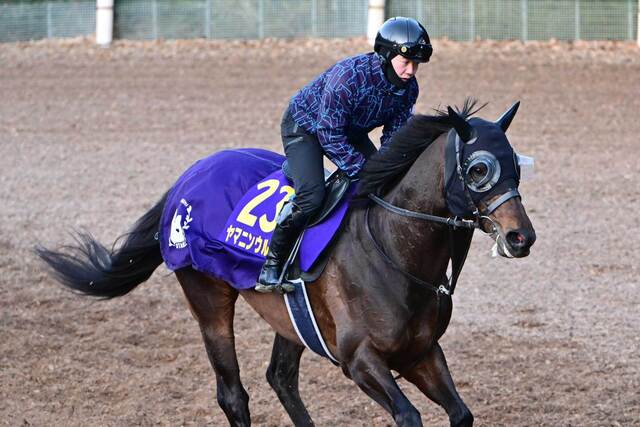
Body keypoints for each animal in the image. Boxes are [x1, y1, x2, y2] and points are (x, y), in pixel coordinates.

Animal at [35, 101, 536, 427]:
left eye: (516, 163)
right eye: (478, 168)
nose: (521, 237)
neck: (394, 251)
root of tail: (189, 176)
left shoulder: (421, 352)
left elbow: (461, 413)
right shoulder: (360, 361)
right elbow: (409, 416)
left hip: (290, 318)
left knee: (280, 378)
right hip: (207, 298)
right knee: (233, 394)